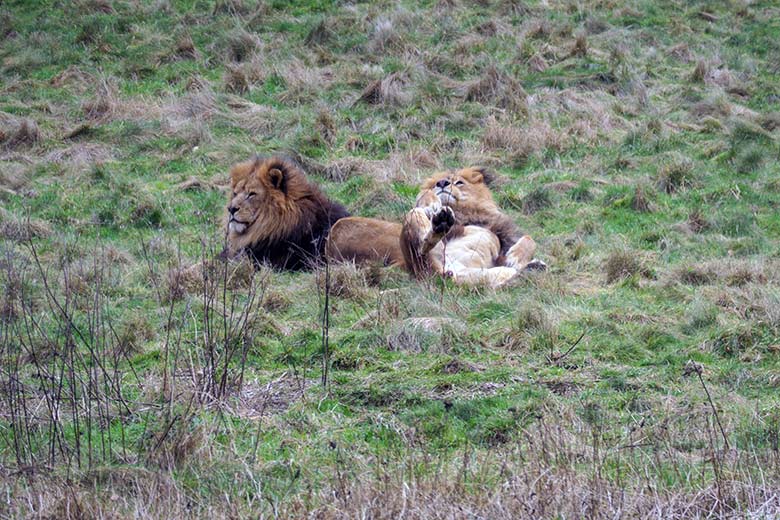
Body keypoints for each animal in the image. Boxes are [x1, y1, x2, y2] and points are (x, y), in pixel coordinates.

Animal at [225, 156, 544, 286]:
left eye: (459, 181)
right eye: (236, 192)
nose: (230, 209)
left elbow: (528, 241)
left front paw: (524, 258)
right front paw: (433, 207)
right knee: (421, 249)